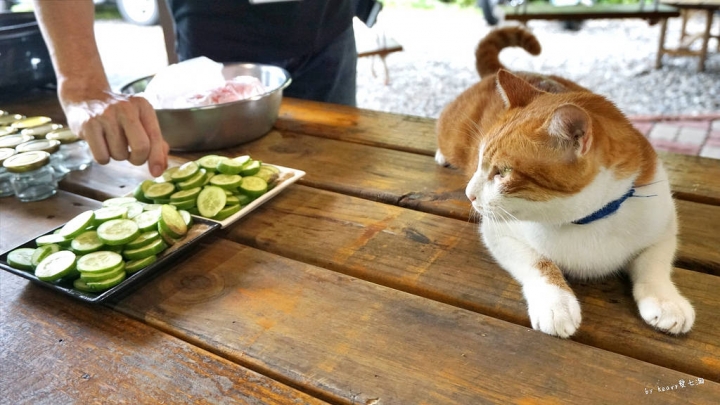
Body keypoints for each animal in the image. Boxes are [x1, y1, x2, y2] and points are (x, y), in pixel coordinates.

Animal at [436, 26, 696, 338]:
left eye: (504, 171)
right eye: (478, 162)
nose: (469, 194)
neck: (588, 221)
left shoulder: (663, 227)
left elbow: (655, 264)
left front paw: (666, 300)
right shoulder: (499, 233)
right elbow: (538, 262)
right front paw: (556, 304)